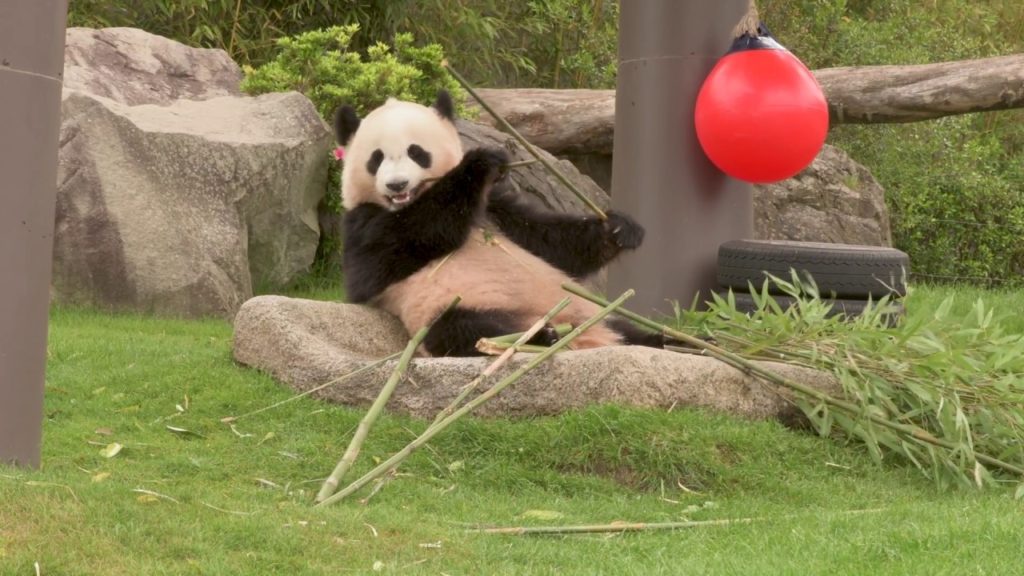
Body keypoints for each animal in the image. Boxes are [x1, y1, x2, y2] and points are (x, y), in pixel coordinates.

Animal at [335, 90, 667, 357]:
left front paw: (619, 229)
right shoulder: (362, 225)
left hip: (587, 309)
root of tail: (592, 339)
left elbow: (550, 242)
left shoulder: (497, 210)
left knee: (629, 329)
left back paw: (670, 340)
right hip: (450, 307)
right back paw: (540, 337)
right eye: (376, 158)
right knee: (465, 330)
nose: (396, 185)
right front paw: (481, 161)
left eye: (416, 152)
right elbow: (403, 242)